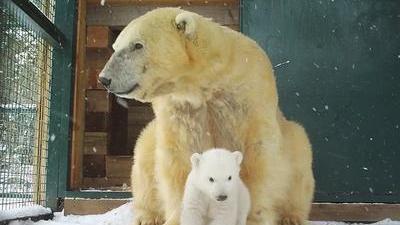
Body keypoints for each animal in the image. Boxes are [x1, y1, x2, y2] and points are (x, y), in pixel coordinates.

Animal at [98, 7, 314, 225]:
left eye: (137, 45)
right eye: (115, 46)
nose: (104, 79)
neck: (205, 82)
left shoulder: (249, 96)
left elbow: (257, 156)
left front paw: (251, 217)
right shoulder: (180, 108)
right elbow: (180, 158)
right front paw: (182, 216)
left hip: (294, 143)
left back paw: (291, 217)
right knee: (144, 156)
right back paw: (146, 217)